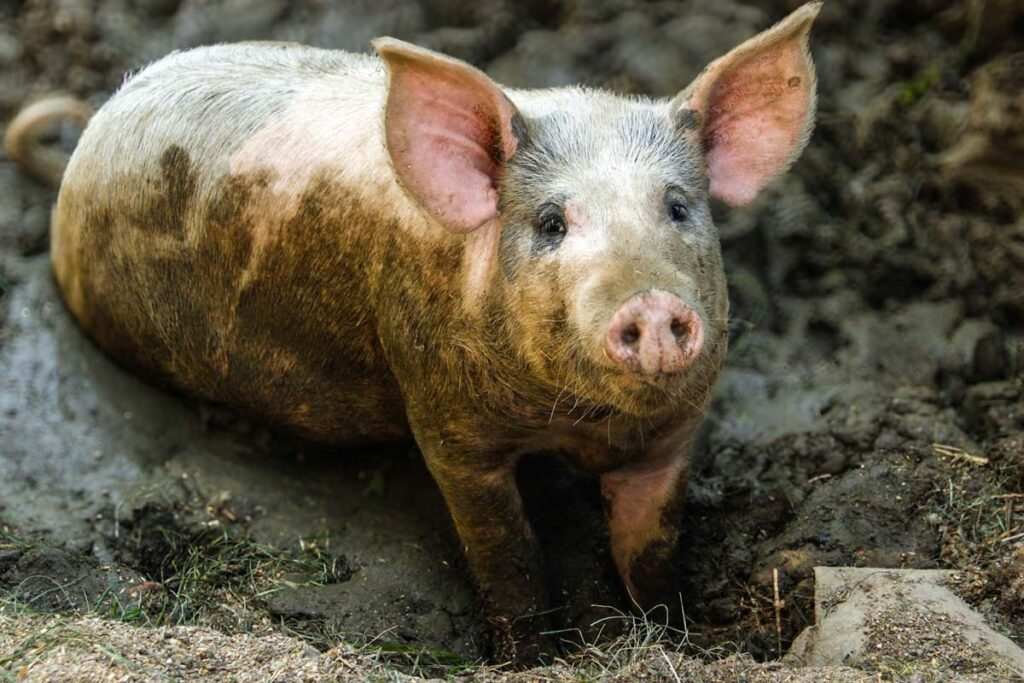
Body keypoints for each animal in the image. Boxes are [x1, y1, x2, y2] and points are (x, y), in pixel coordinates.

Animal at [7, 2, 821, 663]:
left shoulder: (674, 432)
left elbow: (651, 546)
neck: (577, 425)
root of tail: (86, 140)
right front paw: (534, 654)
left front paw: (676, 635)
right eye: (551, 223)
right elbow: (504, 550)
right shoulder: (445, 417)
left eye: (678, 207)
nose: (650, 304)